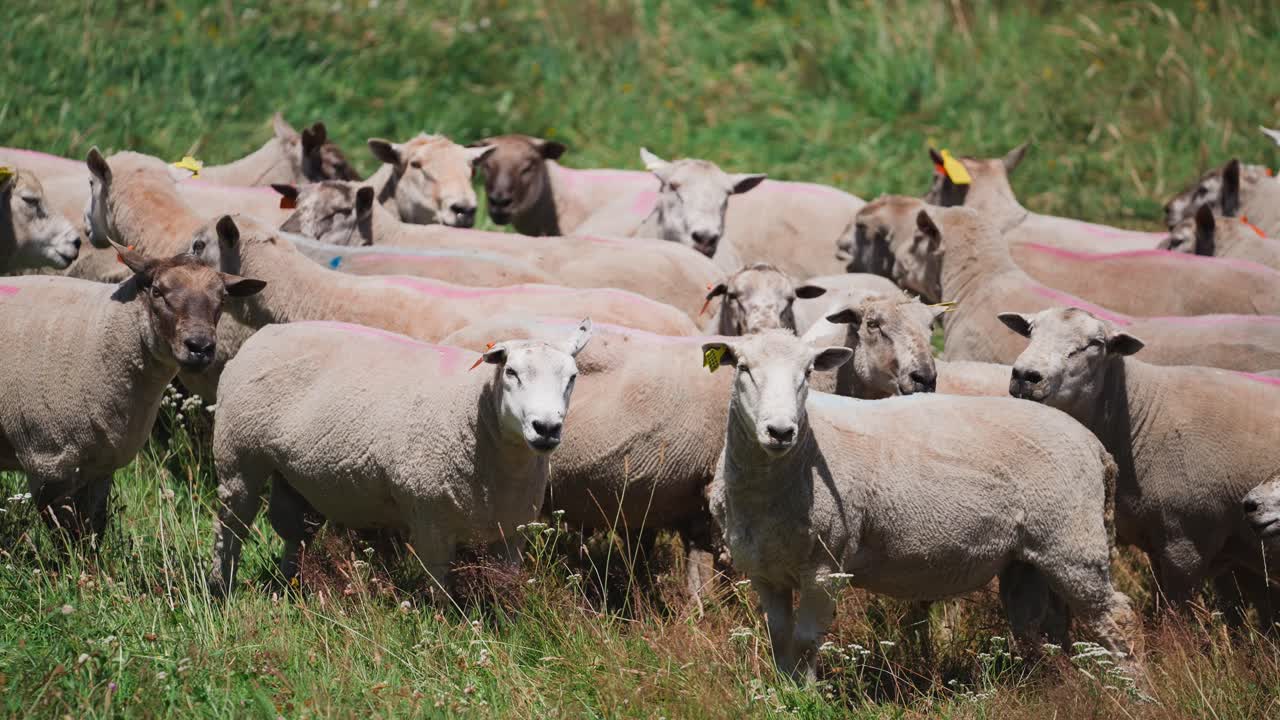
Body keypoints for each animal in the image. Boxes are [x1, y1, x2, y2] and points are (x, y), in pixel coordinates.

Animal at [0, 244, 263, 537]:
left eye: (223, 298)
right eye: (157, 291)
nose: (200, 347)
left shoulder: (100, 463)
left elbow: (93, 527)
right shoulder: (48, 460)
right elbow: (66, 535)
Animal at [207, 318, 591, 596]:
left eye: (573, 376)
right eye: (511, 372)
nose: (546, 427)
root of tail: (265, 332)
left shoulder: (511, 531)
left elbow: (505, 587)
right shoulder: (429, 518)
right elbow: (440, 589)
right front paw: (446, 628)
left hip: (291, 474)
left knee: (293, 530)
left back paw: (292, 587)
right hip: (238, 454)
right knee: (232, 527)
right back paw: (221, 589)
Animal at [703, 330, 1141, 680]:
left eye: (808, 372)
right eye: (743, 368)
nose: (780, 431)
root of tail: (1095, 446)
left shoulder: (826, 566)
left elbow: (807, 641)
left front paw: (807, 695)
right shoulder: (765, 571)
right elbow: (779, 637)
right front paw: (784, 691)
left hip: (1072, 543)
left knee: (1118, 617)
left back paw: (1134, 692)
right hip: (1030, 557)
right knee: (1042, 626)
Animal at [1001, 306, 1280, 620]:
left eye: (1095, 344)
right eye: (1030, 331)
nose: (1025, 375)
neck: (1136, 415)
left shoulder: (1186, 544)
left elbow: (1177, 615)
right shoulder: (1159, 546)